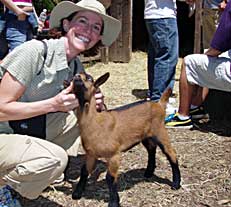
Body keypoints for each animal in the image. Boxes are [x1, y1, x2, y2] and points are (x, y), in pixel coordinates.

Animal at [69, 71, 181, 207]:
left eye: (89, 78)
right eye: (75, 75)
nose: (77, 77)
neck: (96, 123)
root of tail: (159, 104)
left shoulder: (114, 155)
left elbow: (110, 178)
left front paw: (114, 202)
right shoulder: (91, 154)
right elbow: (84, 171)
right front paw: (77, 193)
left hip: (159, 130)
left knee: (171, 153)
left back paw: (176, 184)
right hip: (145, 135)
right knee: (151, 149)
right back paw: (149, 172)